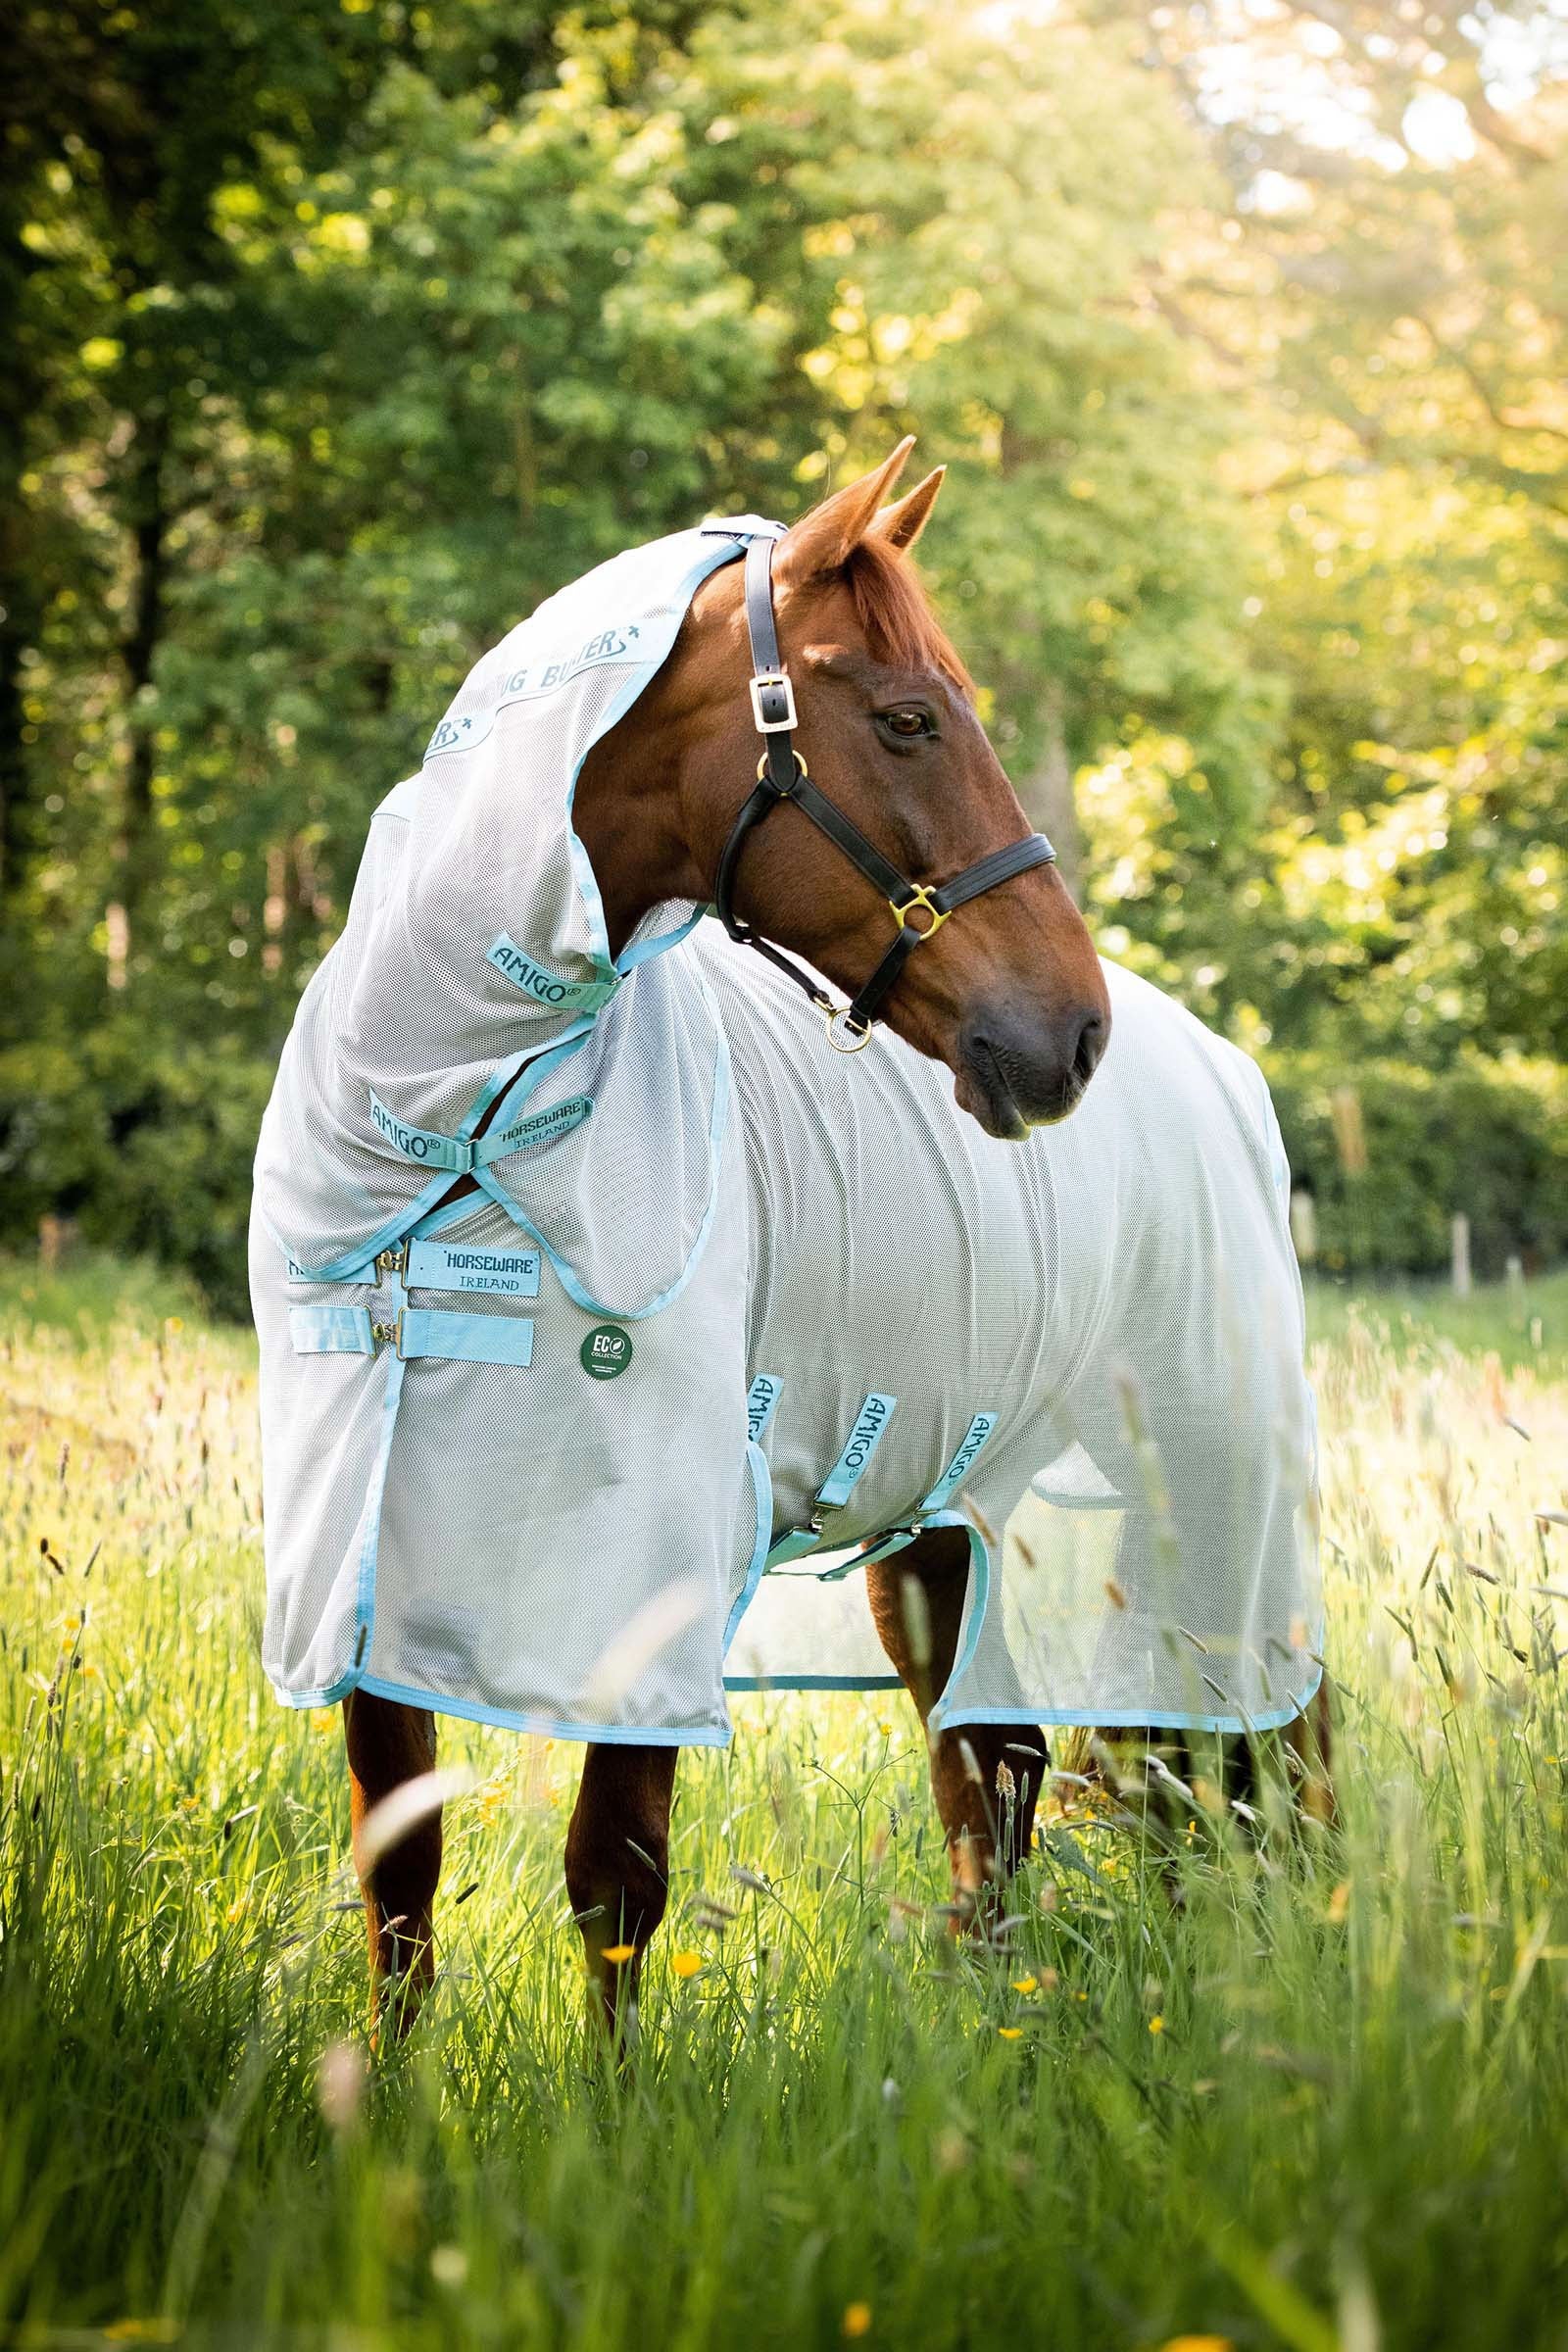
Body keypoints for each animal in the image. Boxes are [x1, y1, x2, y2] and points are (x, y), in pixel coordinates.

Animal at [249, 440, 1326, 2045]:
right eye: (908, 716)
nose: (1070, 1036)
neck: (454, 1135)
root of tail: (1218, 1066)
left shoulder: (653, 1559)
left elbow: (614, 1877)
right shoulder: (366, 1565)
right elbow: (401, 1874)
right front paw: (384, 2098)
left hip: (1213, 1488)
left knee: (1252, 1750)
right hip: (949, 1530)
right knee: (997, 1780)